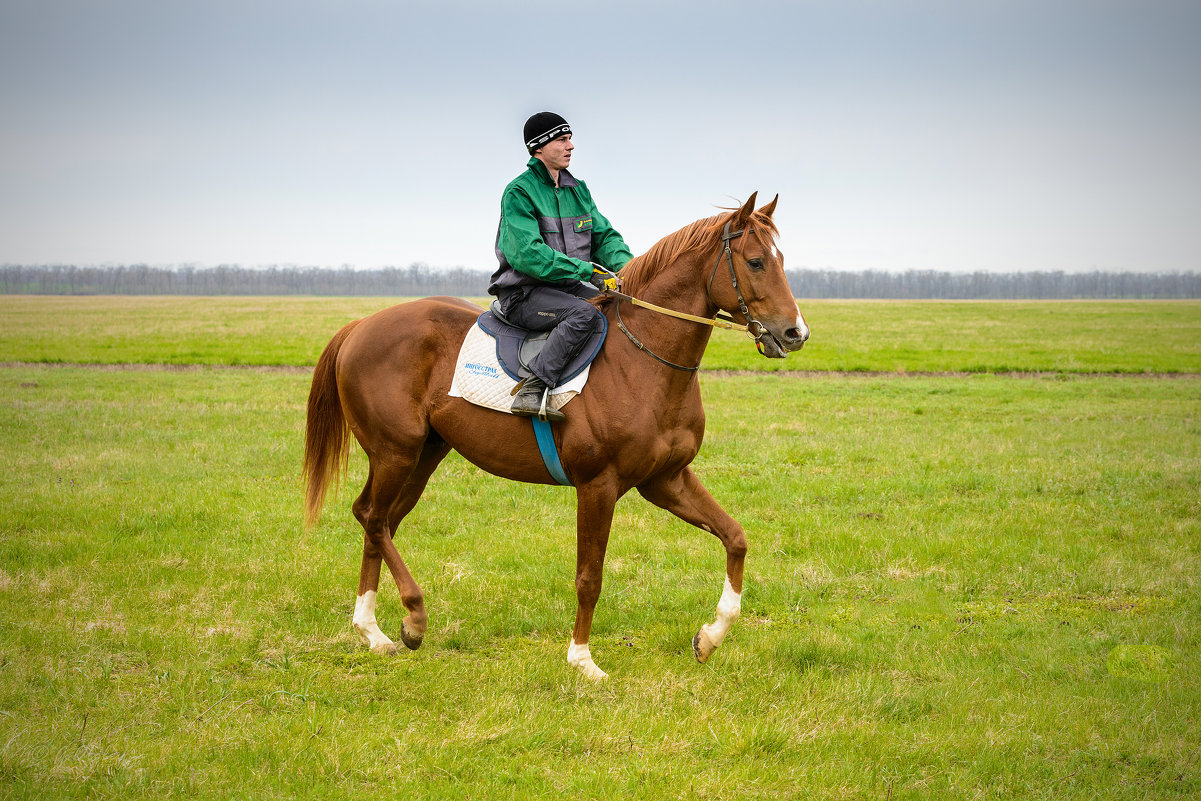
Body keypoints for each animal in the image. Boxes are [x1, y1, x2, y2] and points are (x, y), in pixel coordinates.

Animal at [302, 190, 807, 682]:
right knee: (372, 517)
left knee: (379, 521)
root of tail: (360, 326)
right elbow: (590, 577)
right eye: (755, 261)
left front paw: (711, 636)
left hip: (423, 455)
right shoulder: (598, 486)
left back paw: (373, 631)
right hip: (396, 453)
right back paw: (413, 616)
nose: (795, 332)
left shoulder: (666, 480)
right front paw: (582, 660)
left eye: (781, 259)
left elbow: (736, 538)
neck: (642, 360)